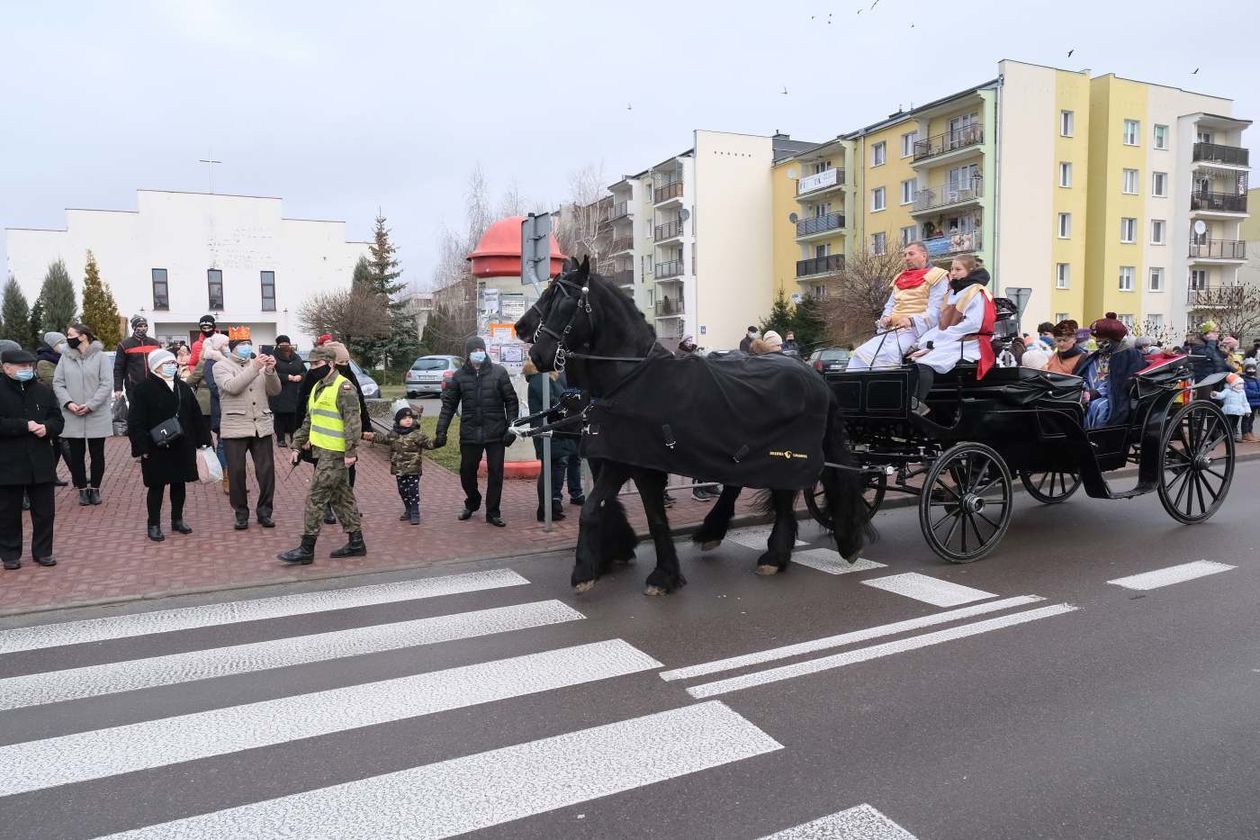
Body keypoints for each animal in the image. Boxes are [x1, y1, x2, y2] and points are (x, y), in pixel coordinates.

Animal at [516, 259, 871, 594]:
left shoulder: (625, 462)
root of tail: (812, 373)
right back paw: (756, 547)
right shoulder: (636, 462)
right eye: (547, 298)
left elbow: (595, 509)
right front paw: (662, 573)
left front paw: (586, 572)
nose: (536, 351)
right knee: (767, 492)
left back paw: (781, 553)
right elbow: (653, 517)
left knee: (785, 494)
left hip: (785, 456)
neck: (631, 378)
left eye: (565, 303)